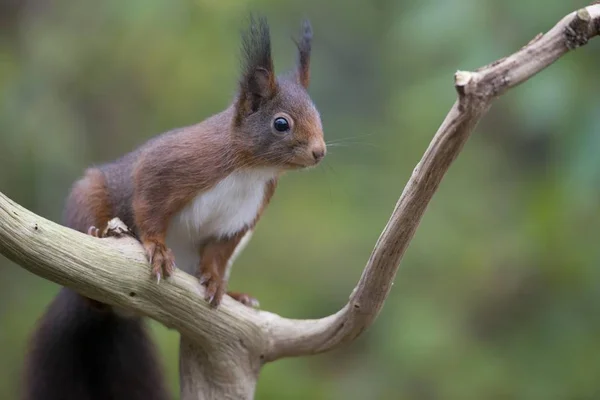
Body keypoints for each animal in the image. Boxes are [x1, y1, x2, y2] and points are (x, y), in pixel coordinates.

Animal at [21, 16, 326, 400]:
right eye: (281, 123)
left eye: (318, 114)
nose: (319, 152)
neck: (251, 170)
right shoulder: (170, 166)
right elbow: (149, 206)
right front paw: (157, 250)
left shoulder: (243, 218)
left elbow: (218, 253)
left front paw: (216, 282)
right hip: (87, 199)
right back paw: (97, 232)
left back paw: (237, 296)